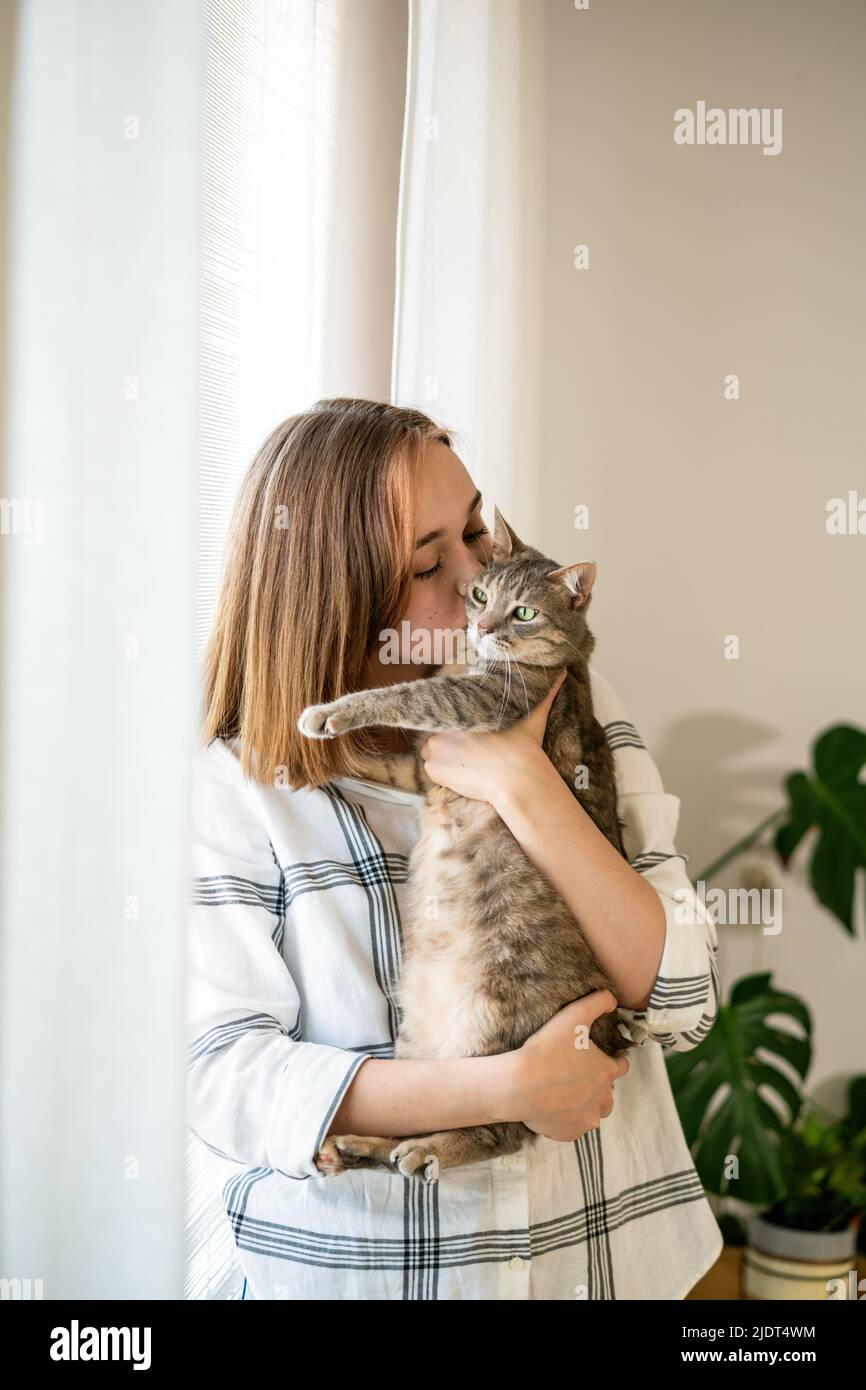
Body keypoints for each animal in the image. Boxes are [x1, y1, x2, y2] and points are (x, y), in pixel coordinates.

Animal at [301, 511, 633, 1184]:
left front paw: (330, 714)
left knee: (501, 1125)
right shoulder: (424, 766)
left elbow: (405, 698)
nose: (481, 627)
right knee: (434, 1099)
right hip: (419, 1040)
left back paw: (429, 1151)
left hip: (498, 1024)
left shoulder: (480, 704)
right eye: (480, 595)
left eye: (523, 613)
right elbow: (387, 759)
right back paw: (357, 1146)